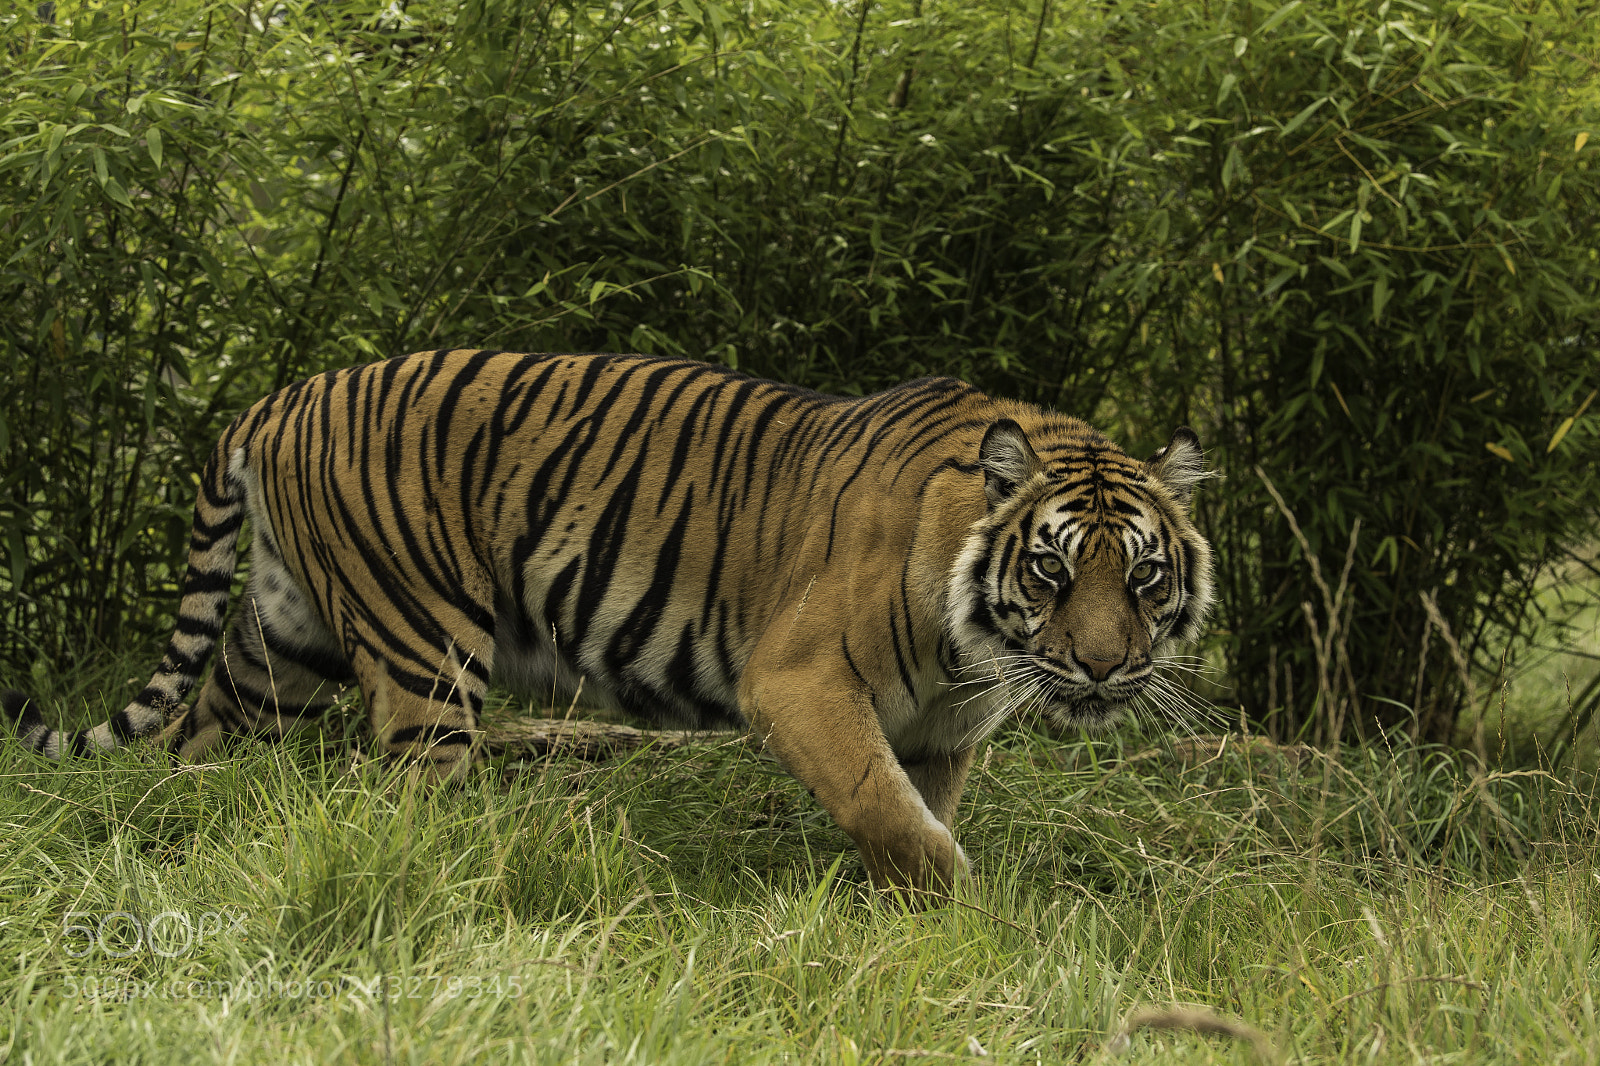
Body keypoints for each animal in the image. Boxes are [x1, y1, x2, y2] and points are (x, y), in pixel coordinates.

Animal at [4, 350, 1214, 892]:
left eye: (1143, 577)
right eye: (1053, 570)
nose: (1103, 671)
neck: (978, 650)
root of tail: (278, 396)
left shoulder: (938, 734)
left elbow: (910, 822)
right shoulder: (801, 682)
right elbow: (892, 814)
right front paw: (971, 910)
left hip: (281, 645)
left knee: (193, 736)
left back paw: (179, 829)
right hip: (422, 649)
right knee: (404, 791)